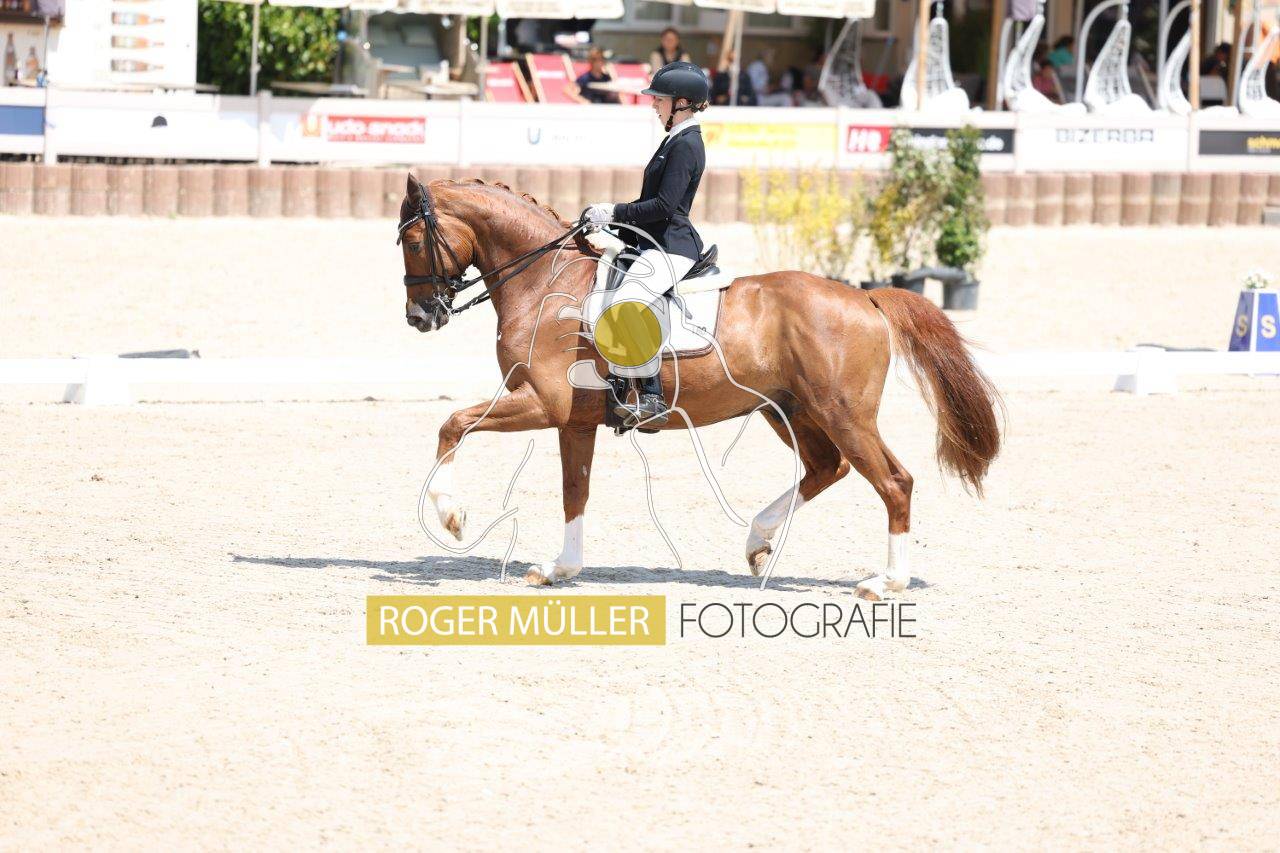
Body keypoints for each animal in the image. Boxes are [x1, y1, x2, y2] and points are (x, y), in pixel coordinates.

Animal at [396, 174, 1001, 599]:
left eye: (413, 240)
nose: (420, 318)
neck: (547, 283)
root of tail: (867, 297)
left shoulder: (544, 404)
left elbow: (453, 425)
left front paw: (452, 517)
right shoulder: (575, 420)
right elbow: (575, 492)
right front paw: (559, 568)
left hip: (843, 414)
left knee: (893, 482)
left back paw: (883, 582)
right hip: (791, 411)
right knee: (826, 469)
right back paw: (759, 541)